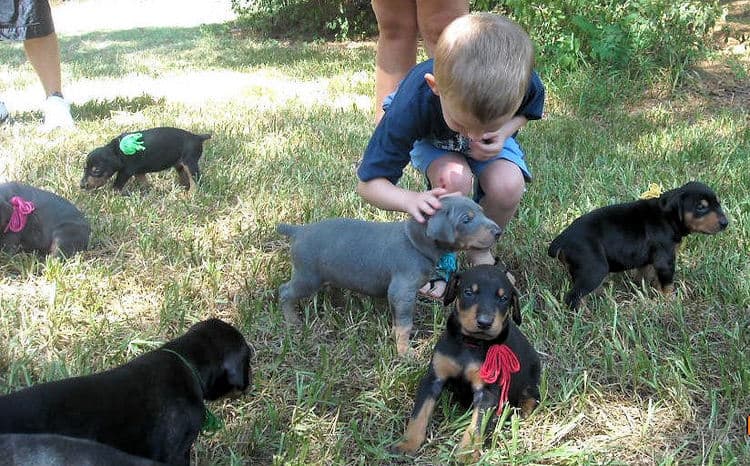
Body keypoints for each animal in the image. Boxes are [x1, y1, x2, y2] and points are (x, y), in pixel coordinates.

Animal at [79, 125, 212, 191]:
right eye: (85, 169)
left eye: (96, 170)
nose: (81, 186)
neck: (117, 150)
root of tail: (198, 137)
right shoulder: (139, 171)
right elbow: (143, 181)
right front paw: (148, 190)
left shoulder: (126, 171)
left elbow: (116, 186)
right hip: (179, 164)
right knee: (184, 176)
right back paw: (183, 188)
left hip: (190, 162)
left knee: (195, 181)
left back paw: (191, 194)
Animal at [280, 195, 502, 354]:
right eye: (466, 219)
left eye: (482, 212)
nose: (498, 231)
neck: (414, 242)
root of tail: (299, 231)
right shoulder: (402, 291)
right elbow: (405, 323)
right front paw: (405, 352)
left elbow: (398, 320)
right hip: (307, 276)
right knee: (284, 292)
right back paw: (292, 321)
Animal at [394, 264, 540, 456]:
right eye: (468, 292)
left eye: (503, 298)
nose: (484, 322)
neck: (471, 344)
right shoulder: (433, 378)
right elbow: (419, 414)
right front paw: (407, 444)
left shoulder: (487, 391)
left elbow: (478, 424)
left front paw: (467, 454)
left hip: (532, 376)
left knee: (532, 396)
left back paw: (522, 411)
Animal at [548, 181, 732, 310]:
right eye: (701, 207)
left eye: (718, 203)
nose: (725, 223)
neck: (669, 217)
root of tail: (560, 241)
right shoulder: (665, 260)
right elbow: (667, 284)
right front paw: (672, 301)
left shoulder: (649, 261)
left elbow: (647, 276)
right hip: (594, 267)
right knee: (573, 297)